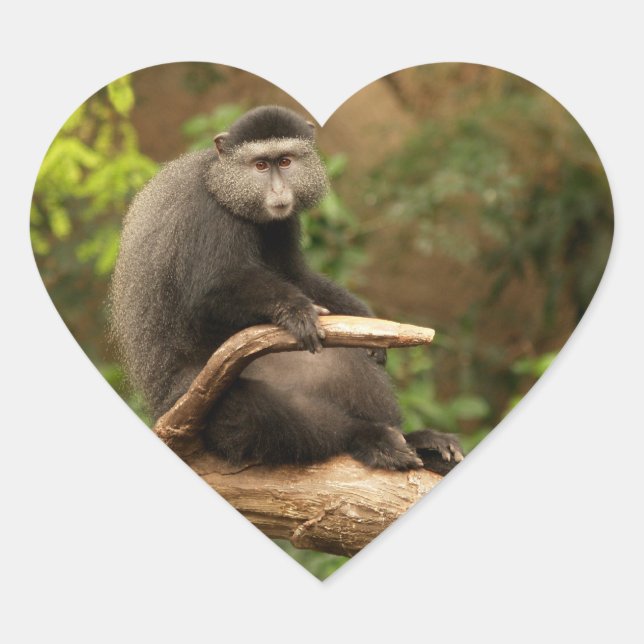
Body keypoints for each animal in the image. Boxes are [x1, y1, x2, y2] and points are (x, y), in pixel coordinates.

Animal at [110, 105, 463, 474]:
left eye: (285, 161)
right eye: (260, 166)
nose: (279, 191)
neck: (220, 182)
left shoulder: (282, 223)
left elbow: (296, 274)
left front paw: (366, 322)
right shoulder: (209, 215)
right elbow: (210, 293)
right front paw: (294, 310)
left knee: (343, 363)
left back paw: (417, 441)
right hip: (197, 397)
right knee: (258, 414)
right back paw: (369, 438)